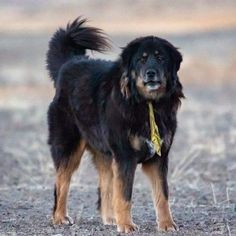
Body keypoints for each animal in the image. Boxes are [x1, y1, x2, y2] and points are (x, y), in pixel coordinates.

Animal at [46, 17, 184, 233]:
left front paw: (167, 224)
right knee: (61, 182)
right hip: (69, 147)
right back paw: (60, 217)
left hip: (105, 154)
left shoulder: (158, 157)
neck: (147, 104)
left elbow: (162, 195)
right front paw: (126, 225)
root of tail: (69, 63)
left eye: (161, 58)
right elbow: (125, 195)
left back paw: (110, 218)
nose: (151, 73)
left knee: (105, 186)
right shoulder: (125, 156)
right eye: (141, 59)